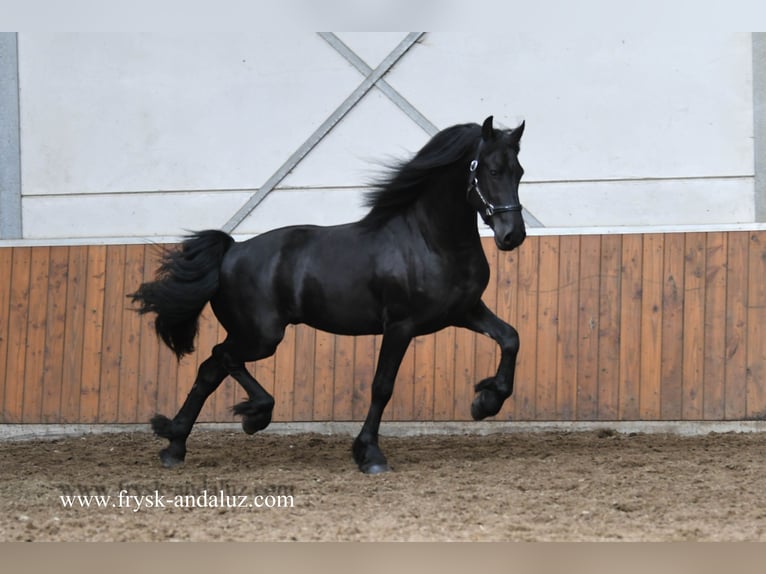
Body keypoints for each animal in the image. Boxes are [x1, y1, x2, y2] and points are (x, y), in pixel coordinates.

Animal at [130, 115, 526, 473]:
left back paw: (175, 446)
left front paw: (486, 401)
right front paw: (370, 455)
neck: (430, 241)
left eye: (519, 172)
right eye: (492, 171)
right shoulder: (400, 325)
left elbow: (511, 338)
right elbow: (382, 386)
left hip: (250, 335)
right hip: (262, 336)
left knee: (209, 370)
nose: (513, 235)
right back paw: (253, 415)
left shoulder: (464, 311)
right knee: (221, 358)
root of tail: (231, 251)